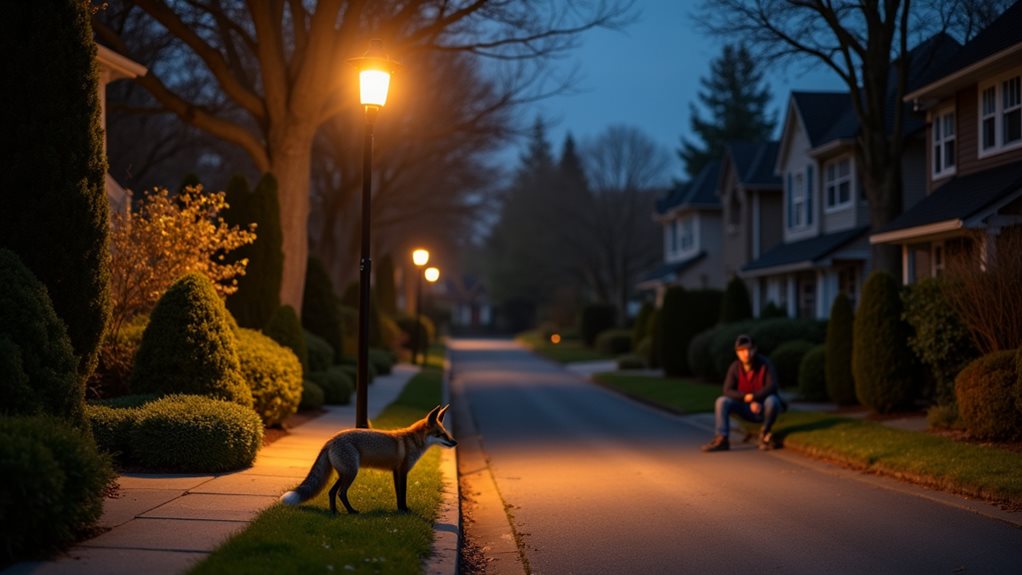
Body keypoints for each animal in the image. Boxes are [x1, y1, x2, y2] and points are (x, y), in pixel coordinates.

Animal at [279, 404, 457, 514]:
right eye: (440, 434)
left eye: (446, 433)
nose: (455, 442)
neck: (412, 442)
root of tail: (332, 439)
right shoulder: (403, 471)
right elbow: (403, 493)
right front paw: (405, 510)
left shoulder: (395, 472)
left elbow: (399, 494)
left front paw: (400, 510)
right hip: (351, 472)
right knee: (341, 493)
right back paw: (351, 512)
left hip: (344, 473)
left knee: (332, 492)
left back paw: (334, 512)